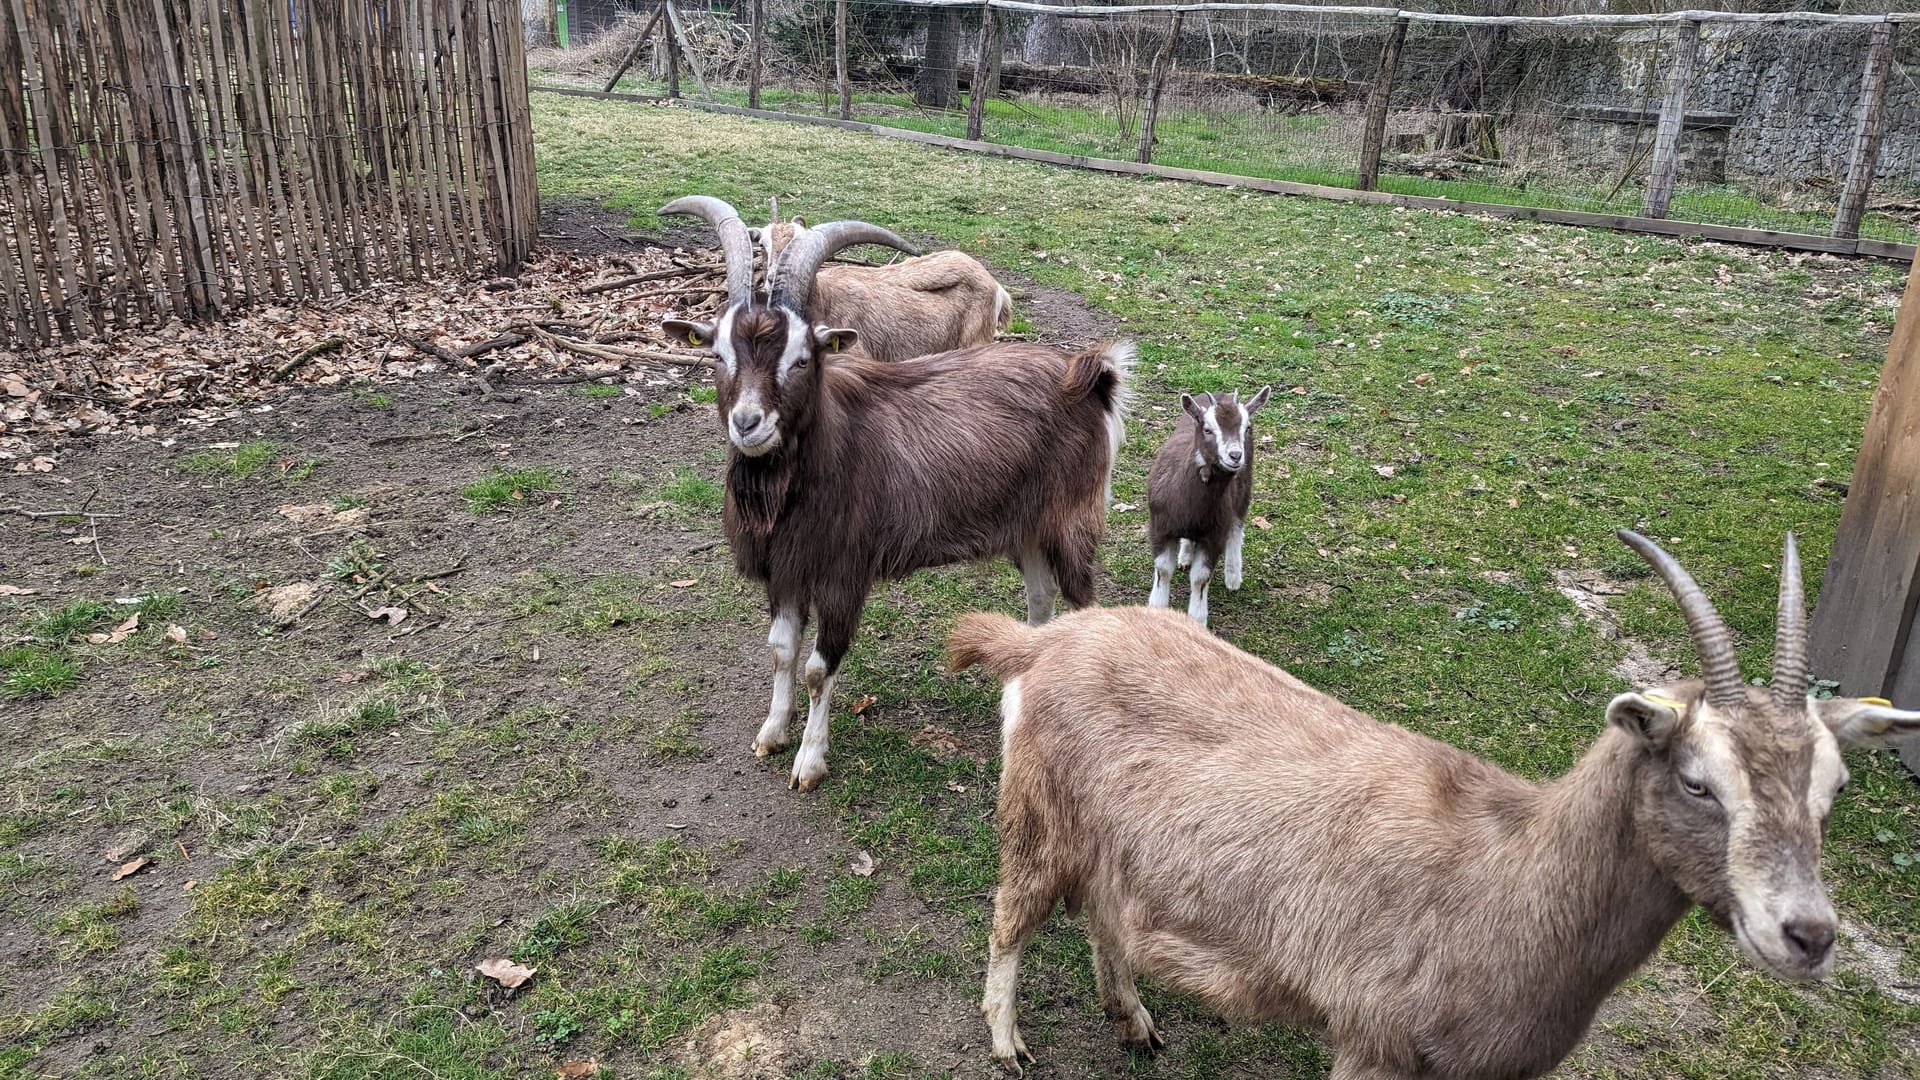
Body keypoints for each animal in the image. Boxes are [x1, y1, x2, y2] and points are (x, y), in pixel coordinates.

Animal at [944, 530, 1920, 1076]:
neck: (1505, 876)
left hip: (1114, 845)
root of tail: (1040, 644)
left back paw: (1136, 1023)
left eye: (1833, 787)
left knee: (1107, 915)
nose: (1808, 935)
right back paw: (1008, 1043)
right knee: (1012, 917)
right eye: (1697, 779)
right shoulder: (1373, 1042)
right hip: (1037, 817)